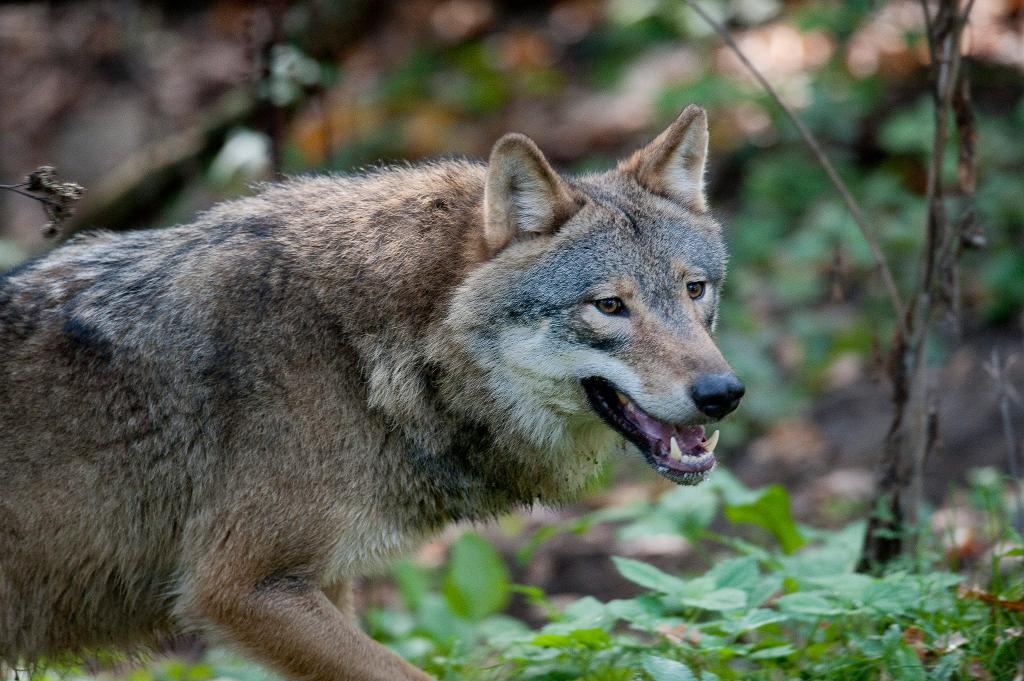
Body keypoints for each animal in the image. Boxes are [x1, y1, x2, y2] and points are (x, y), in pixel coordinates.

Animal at [2, 103, 745, 675]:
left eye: (694, 289)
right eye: (609, 306)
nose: (723, 393)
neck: (364, 353)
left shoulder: (322, 584)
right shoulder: (241, 588)